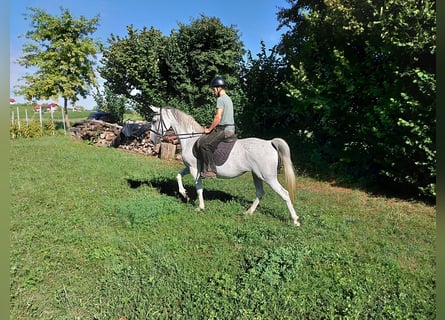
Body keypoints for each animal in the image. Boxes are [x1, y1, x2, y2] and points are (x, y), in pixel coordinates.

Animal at [147, 106, 300, 226]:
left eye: (154, 121)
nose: (152, 140)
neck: (190, 139)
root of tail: (269, 143)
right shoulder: (190, 167)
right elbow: (178, 175)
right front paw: (184, 194)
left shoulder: (194, 169)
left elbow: (199, 189)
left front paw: (200, 207)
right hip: (257, 175)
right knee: (260, 193)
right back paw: (248, 212)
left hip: (269, 177)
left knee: (285, 194)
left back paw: (295, 220)